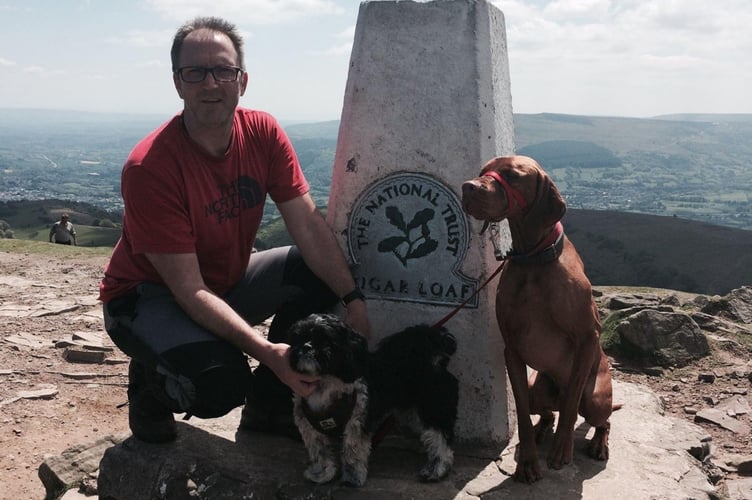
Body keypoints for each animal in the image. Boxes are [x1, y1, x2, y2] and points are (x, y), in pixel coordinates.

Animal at [286, 314, 458, 486]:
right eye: (299, 338)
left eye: (325, 340)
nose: (306, 346)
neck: (324, 384)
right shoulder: (310, 428)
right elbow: (320, 452)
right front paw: (322, 474)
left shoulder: (356, 422)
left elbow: (352, 451)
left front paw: (352, 477)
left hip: (433, 407)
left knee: (441, 438)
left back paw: (437, 469)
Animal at [462, 156, 612, 484]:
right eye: (482, 172)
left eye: (512, 176)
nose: (468, 187)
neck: (534, 259)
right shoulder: (512, 350)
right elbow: (520, 412)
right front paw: (528, 462)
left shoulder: (587, 338)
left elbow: (570, 407)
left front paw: (562, 449)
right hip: (538, 388)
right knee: (546, 412)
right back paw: (542, 430)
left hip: (596, 399)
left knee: (598, 419)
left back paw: (598, 443)